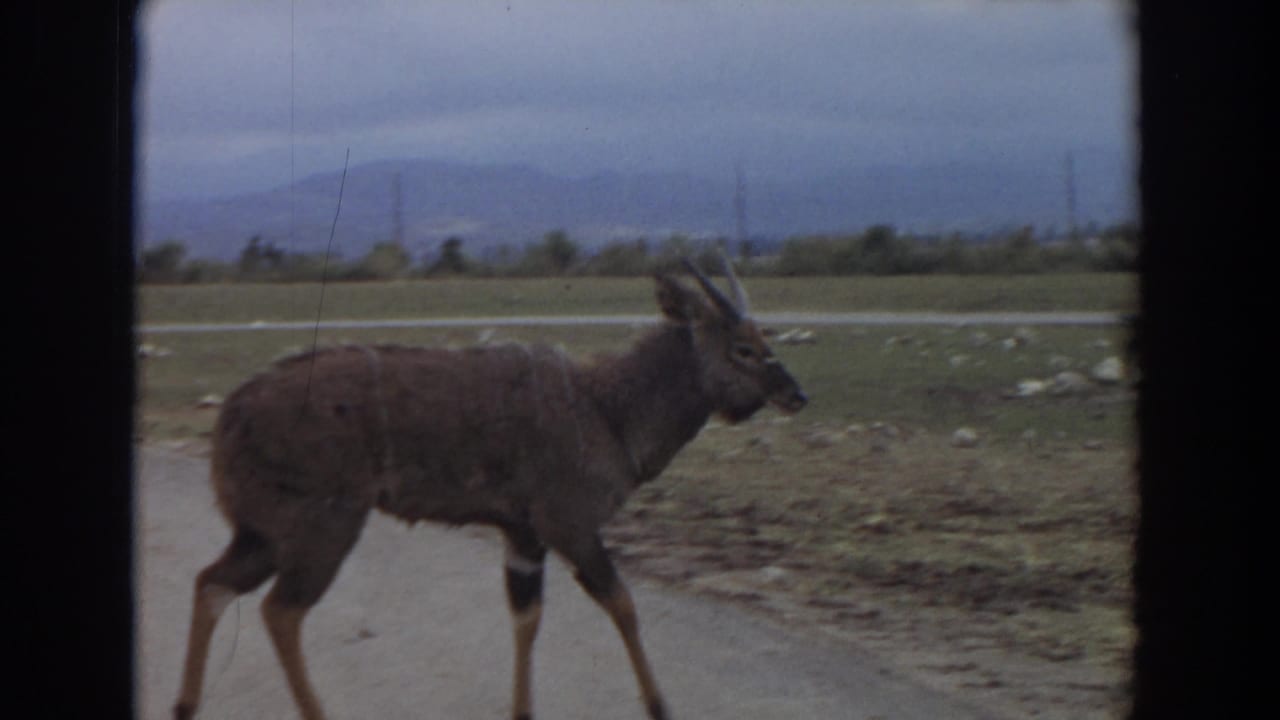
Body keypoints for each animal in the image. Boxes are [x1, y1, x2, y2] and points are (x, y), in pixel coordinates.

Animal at [173, 258, 807, 720]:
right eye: (743, 348)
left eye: (764, 339)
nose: (797, 395)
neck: (608, 409)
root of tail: (231, 414)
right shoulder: (569, 525)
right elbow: (623, 604)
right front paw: (660, 705)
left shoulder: (523, 535)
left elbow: (527, 617)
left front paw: (522, 711)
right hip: (323, 528)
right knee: (280, 610)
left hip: (262, 533)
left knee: (212, 584)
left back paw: (185, 706)